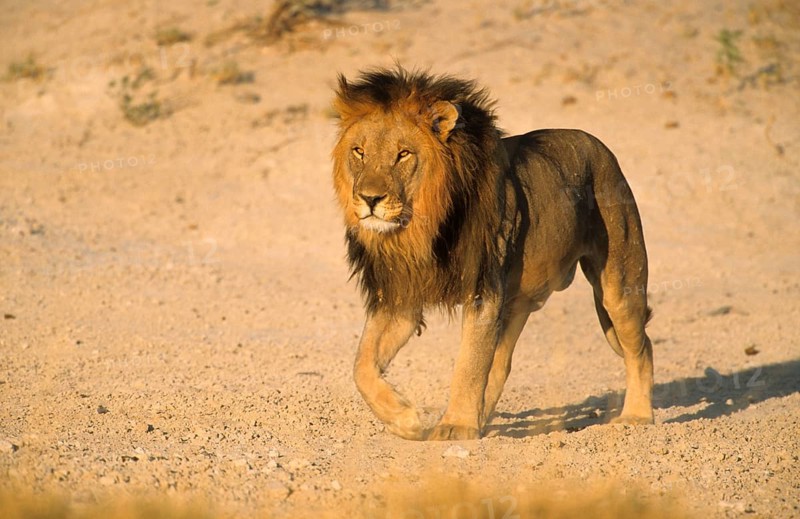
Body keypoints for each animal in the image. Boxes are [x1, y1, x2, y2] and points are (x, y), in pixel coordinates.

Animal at [331, 67, 654, 441]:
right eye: (359, 152)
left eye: (403, 154)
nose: (370, 199)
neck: (419, 230)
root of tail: (598, 145)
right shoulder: (401, 299)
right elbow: (361, 366)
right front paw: (407, 420)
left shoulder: (483, 290)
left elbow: (469, 365)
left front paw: (455, 426)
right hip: (517, 303)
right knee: (501, 363)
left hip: (619, 285)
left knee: (641, 347)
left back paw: (637, 416)